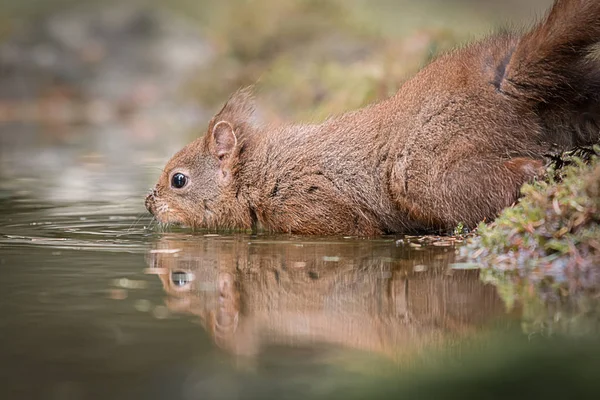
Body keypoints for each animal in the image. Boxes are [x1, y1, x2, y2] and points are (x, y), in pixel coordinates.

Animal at [145, 0, 600, 234]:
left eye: (178, 180)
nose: (149, 204)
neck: (256, 173)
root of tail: (502, 80)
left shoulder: (314, 205)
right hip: (574, 98)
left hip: (427, 171)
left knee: (511, 174)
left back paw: (543, 170)